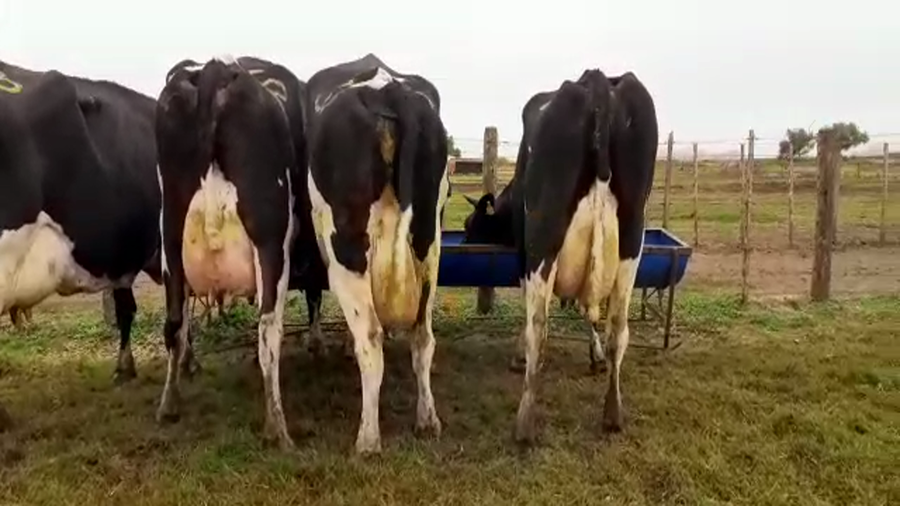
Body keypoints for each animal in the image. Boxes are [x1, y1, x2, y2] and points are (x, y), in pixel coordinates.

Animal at [154, 55, 326, 450]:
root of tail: (213, 69)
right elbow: (313, 296)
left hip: (170, 239)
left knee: (174, 324)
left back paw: (169, 404)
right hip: (271, 243)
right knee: (268, 332)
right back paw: (278, 427)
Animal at [304, 53, 450, 453]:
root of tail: (387, 88)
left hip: (347, 250)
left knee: (370, 338)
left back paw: (368, 438)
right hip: (429, 243)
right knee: (423, 337)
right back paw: (427, 420)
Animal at [461, 69, 658, 444]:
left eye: (470, 224)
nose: (463, 242)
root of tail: (597, 81)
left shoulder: (523, 254)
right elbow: (589, 312)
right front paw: (595, 356)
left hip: (544, 234)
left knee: (538, 324)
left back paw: (524, 423)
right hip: (632, 237)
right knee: (618, 326)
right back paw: (613, 414)